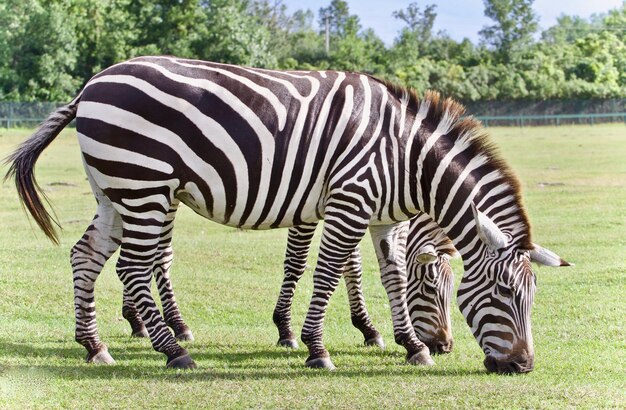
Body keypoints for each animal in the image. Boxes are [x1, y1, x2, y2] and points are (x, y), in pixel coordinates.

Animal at [272, 211, 454, 352]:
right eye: (430, 289)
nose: (445, 347)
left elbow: (352, 266)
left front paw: (368, 329)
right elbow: (296, 262)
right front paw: (285, 330)